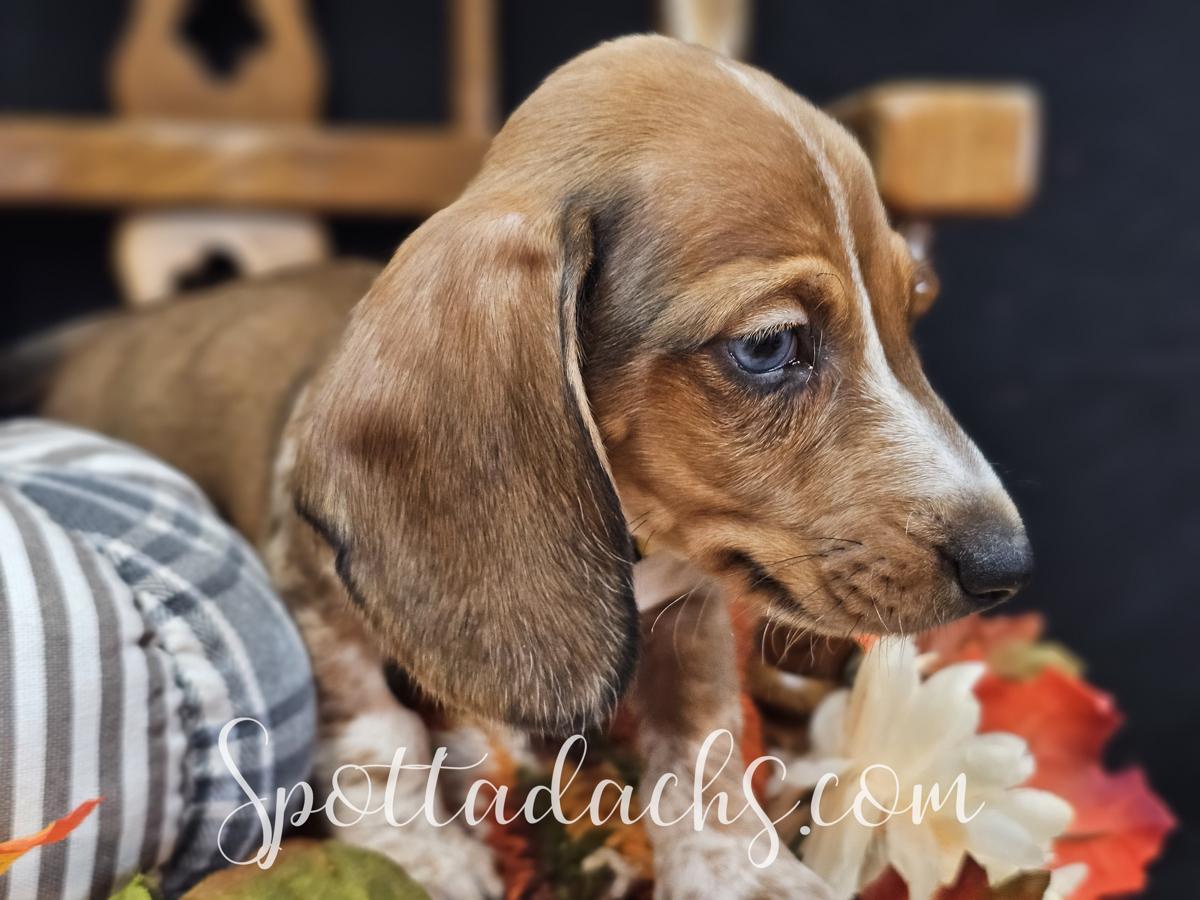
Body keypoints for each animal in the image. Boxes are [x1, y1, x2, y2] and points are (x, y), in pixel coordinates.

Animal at [8, 35, 1032, 899]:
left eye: (914, 309)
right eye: (771, 345)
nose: (1009, 566)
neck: (636, 535)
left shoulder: (695, 609)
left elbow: (700, 748)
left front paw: (738, 872)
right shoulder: (311, 589)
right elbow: (375, 731)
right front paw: (427, 858)